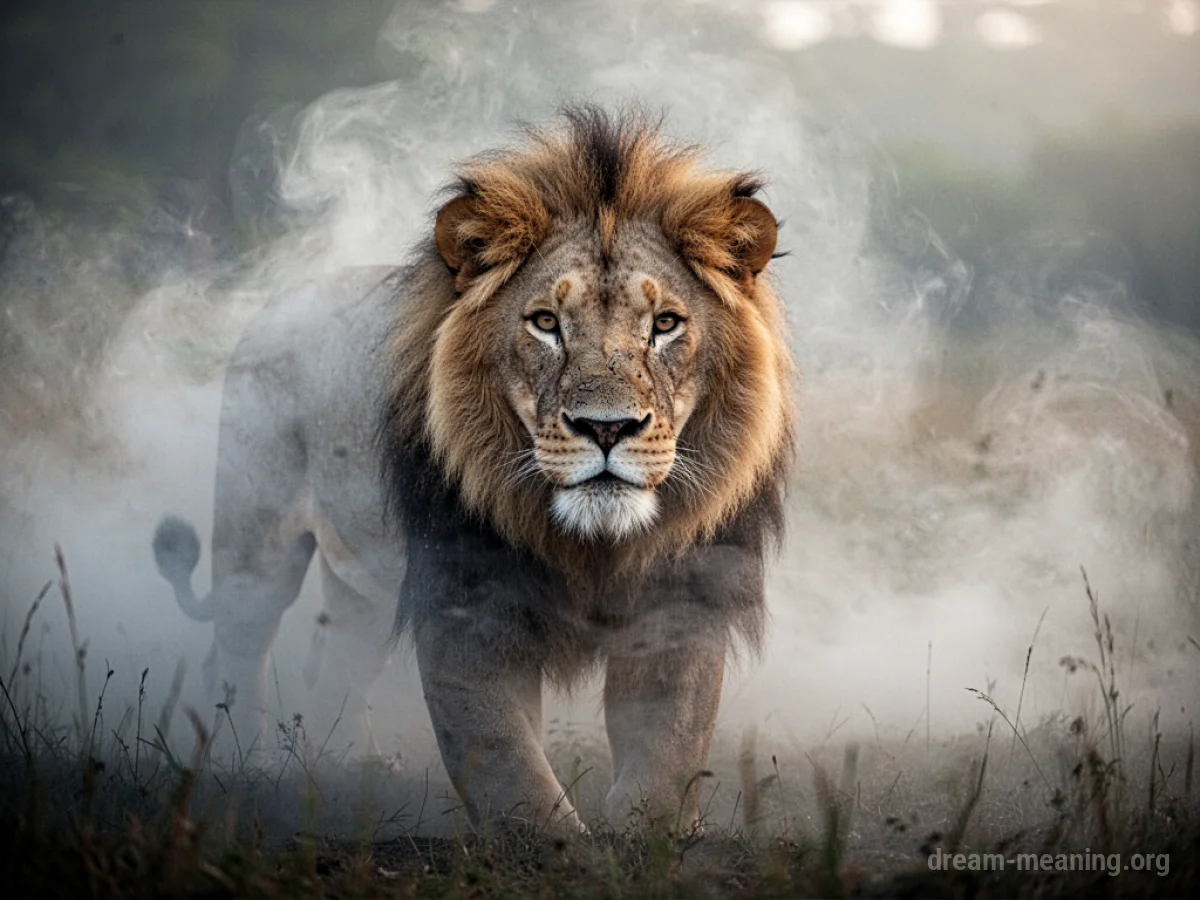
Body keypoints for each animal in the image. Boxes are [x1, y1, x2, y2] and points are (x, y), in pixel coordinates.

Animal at [153, 106, 794, 833]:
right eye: (545, 323)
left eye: (664, 325)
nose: (606, 428)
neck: (592, 544)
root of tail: (278, 301)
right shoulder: (469, 599)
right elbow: (502, 755)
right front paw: (552, 840)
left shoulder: (681, 599)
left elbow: (669, 742)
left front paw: (650, 833)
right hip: (255, 544)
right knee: (237, 647)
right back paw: (249, 765)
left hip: (362, 586)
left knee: (331, 660)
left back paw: (353, 766)